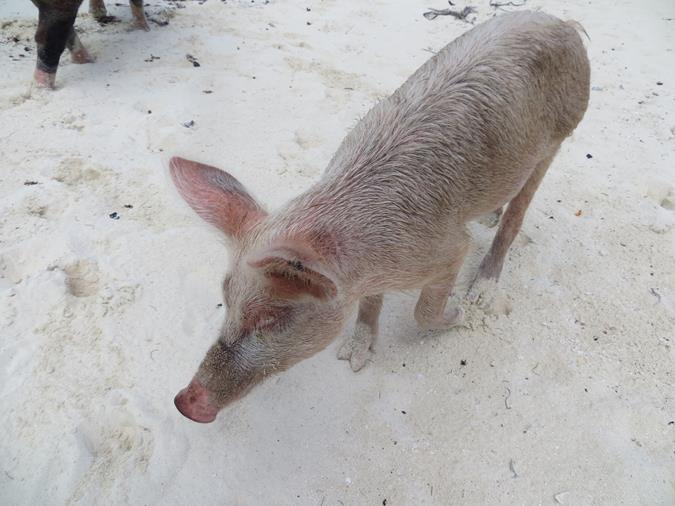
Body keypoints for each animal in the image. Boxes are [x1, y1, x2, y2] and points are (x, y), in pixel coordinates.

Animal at [170, 11, 592, 422]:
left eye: (271, 318)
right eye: (226, 299)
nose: (185, 401)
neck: (364, 262)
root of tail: (563, 24)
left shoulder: (449, 249)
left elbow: (425, 311)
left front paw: (459, 314)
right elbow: (371, 304)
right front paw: (352, 358)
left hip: (558, 136)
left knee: (517, 215)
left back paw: (482, 291)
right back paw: (489, 216)